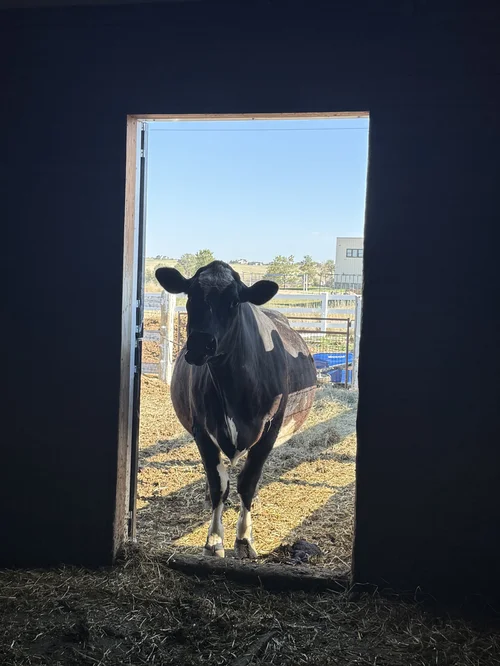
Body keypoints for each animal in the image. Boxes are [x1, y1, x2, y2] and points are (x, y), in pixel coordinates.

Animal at [155, 261, 317, 559]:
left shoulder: (270, 430)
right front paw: (214, 539)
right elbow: (219, 485)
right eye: (190, 295)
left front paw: (243, 539)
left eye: (233, 301)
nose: (200, 344)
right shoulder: (201, 429)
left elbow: (247, 483)